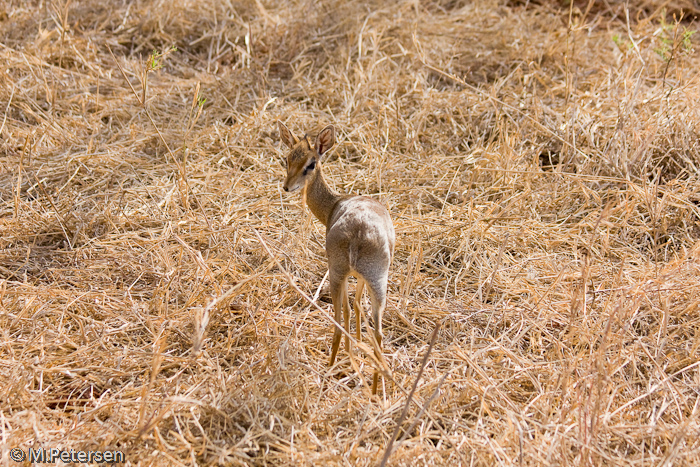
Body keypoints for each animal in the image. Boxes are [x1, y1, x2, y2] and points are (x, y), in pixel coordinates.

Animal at [276, 121, 394, 394]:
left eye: (311, 163)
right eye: (288, 158)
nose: (287, 186)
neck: (334, 205)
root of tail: (359, 231)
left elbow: (350, 311)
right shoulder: (359, 277)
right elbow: (358, 306)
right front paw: (358, 349)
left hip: (336, 273)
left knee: (339, 323)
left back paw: (330, 372)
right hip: (377, 280)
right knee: (378, 332)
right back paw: (375, 389)